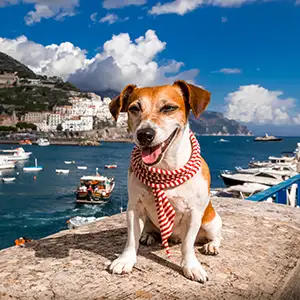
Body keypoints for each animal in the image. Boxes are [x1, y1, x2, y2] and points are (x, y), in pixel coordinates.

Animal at [109, 79, 221, 282]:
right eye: (134, 108)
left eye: (169, 108)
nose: (144, 134)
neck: (165, 168)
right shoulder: (134, 207)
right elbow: (131, 239)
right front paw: (126, 259)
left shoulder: (194, 213)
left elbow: (188, 244)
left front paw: (191, 266)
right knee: (147, 230)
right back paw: (147, 235)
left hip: (211, 222)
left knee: (216, 236)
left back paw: (212, 245)